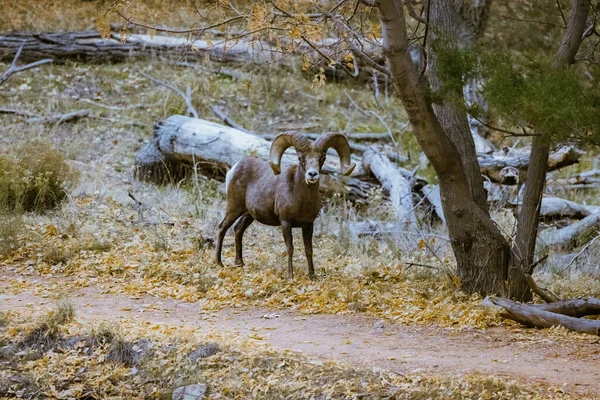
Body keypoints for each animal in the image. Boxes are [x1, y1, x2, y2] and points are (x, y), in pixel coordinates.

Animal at [216, 133, 356, 280]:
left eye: (323, 158)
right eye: (300, 158)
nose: (312, 174)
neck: (302, 201)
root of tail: (234, 168)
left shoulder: (308, 225)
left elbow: (309, 249)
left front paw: (312, 275)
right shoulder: (285, 223)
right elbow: (290, 248)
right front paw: (290, 276)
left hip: (248, 214)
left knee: (238, 230)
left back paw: (240, 263)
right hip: (234, 208)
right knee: (222, 227)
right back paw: (219, 263)